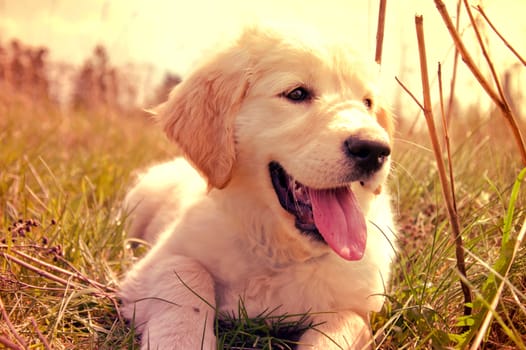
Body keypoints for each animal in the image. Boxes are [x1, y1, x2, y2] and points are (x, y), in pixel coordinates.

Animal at [120, 26, 400, 348]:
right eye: (297, 93)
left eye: (368, 103)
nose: (375, 149)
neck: (278, 254)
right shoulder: (155, 263)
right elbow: (186, 273)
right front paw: (181, 340)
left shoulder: (357, 308)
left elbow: (343, 326)